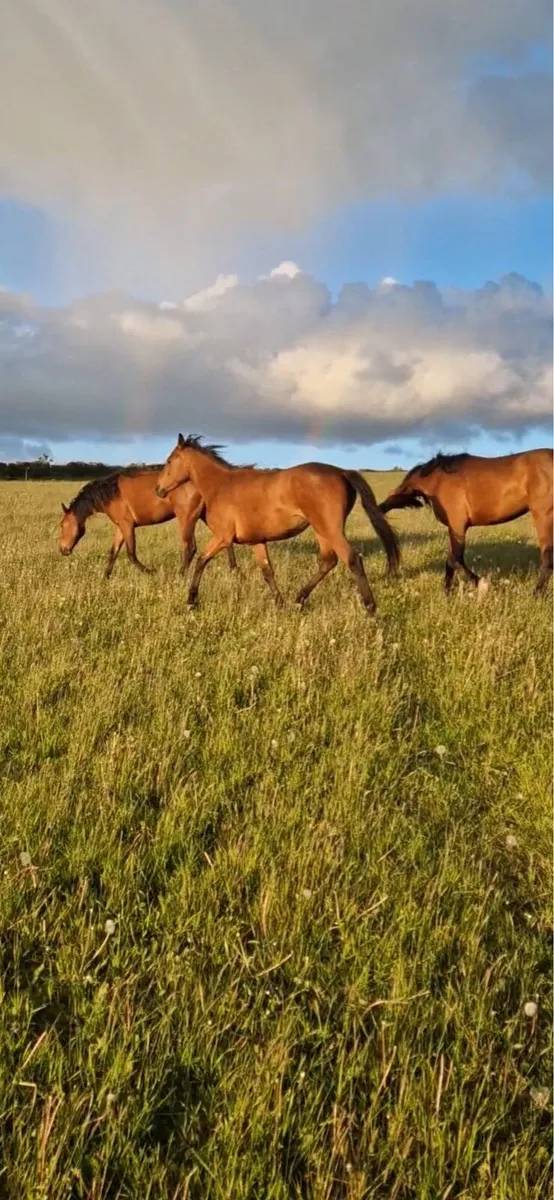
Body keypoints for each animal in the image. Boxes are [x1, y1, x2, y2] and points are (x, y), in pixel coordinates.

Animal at [58, 467, 237, 578]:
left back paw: (179, 576)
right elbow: (113, 553)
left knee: (190, 548)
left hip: (186, 518)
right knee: (225, 541)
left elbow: (131, 554)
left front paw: (151, 572)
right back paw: (234, 570)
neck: (111, 493)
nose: (63, 550)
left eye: (62, 525)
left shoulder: (127, 525)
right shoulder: (120, 527)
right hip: (203, 516)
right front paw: (105, 577)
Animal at [155, 434, 400, 612]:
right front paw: (280, 605)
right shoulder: (256, 541)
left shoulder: (222, 538)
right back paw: (298, 599)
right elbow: (267, 572)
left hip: (329, 529)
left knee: (352, 559)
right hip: (321, 530)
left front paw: (191, 601)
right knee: (328, 561)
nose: (158, 490)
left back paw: (370, 608)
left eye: (169, 461)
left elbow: (200, 561)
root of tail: (341, 471)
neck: (220, 485)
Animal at [379, 449, 553, 593]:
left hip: (543, 517)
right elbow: (450, 560)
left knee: (547, 556)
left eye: (391, 495)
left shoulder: (458, 525)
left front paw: (480, 584)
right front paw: (446, 592)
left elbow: (454, 558)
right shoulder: (453, 528)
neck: (440, 480)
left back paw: (537, 593)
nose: (379, 508)